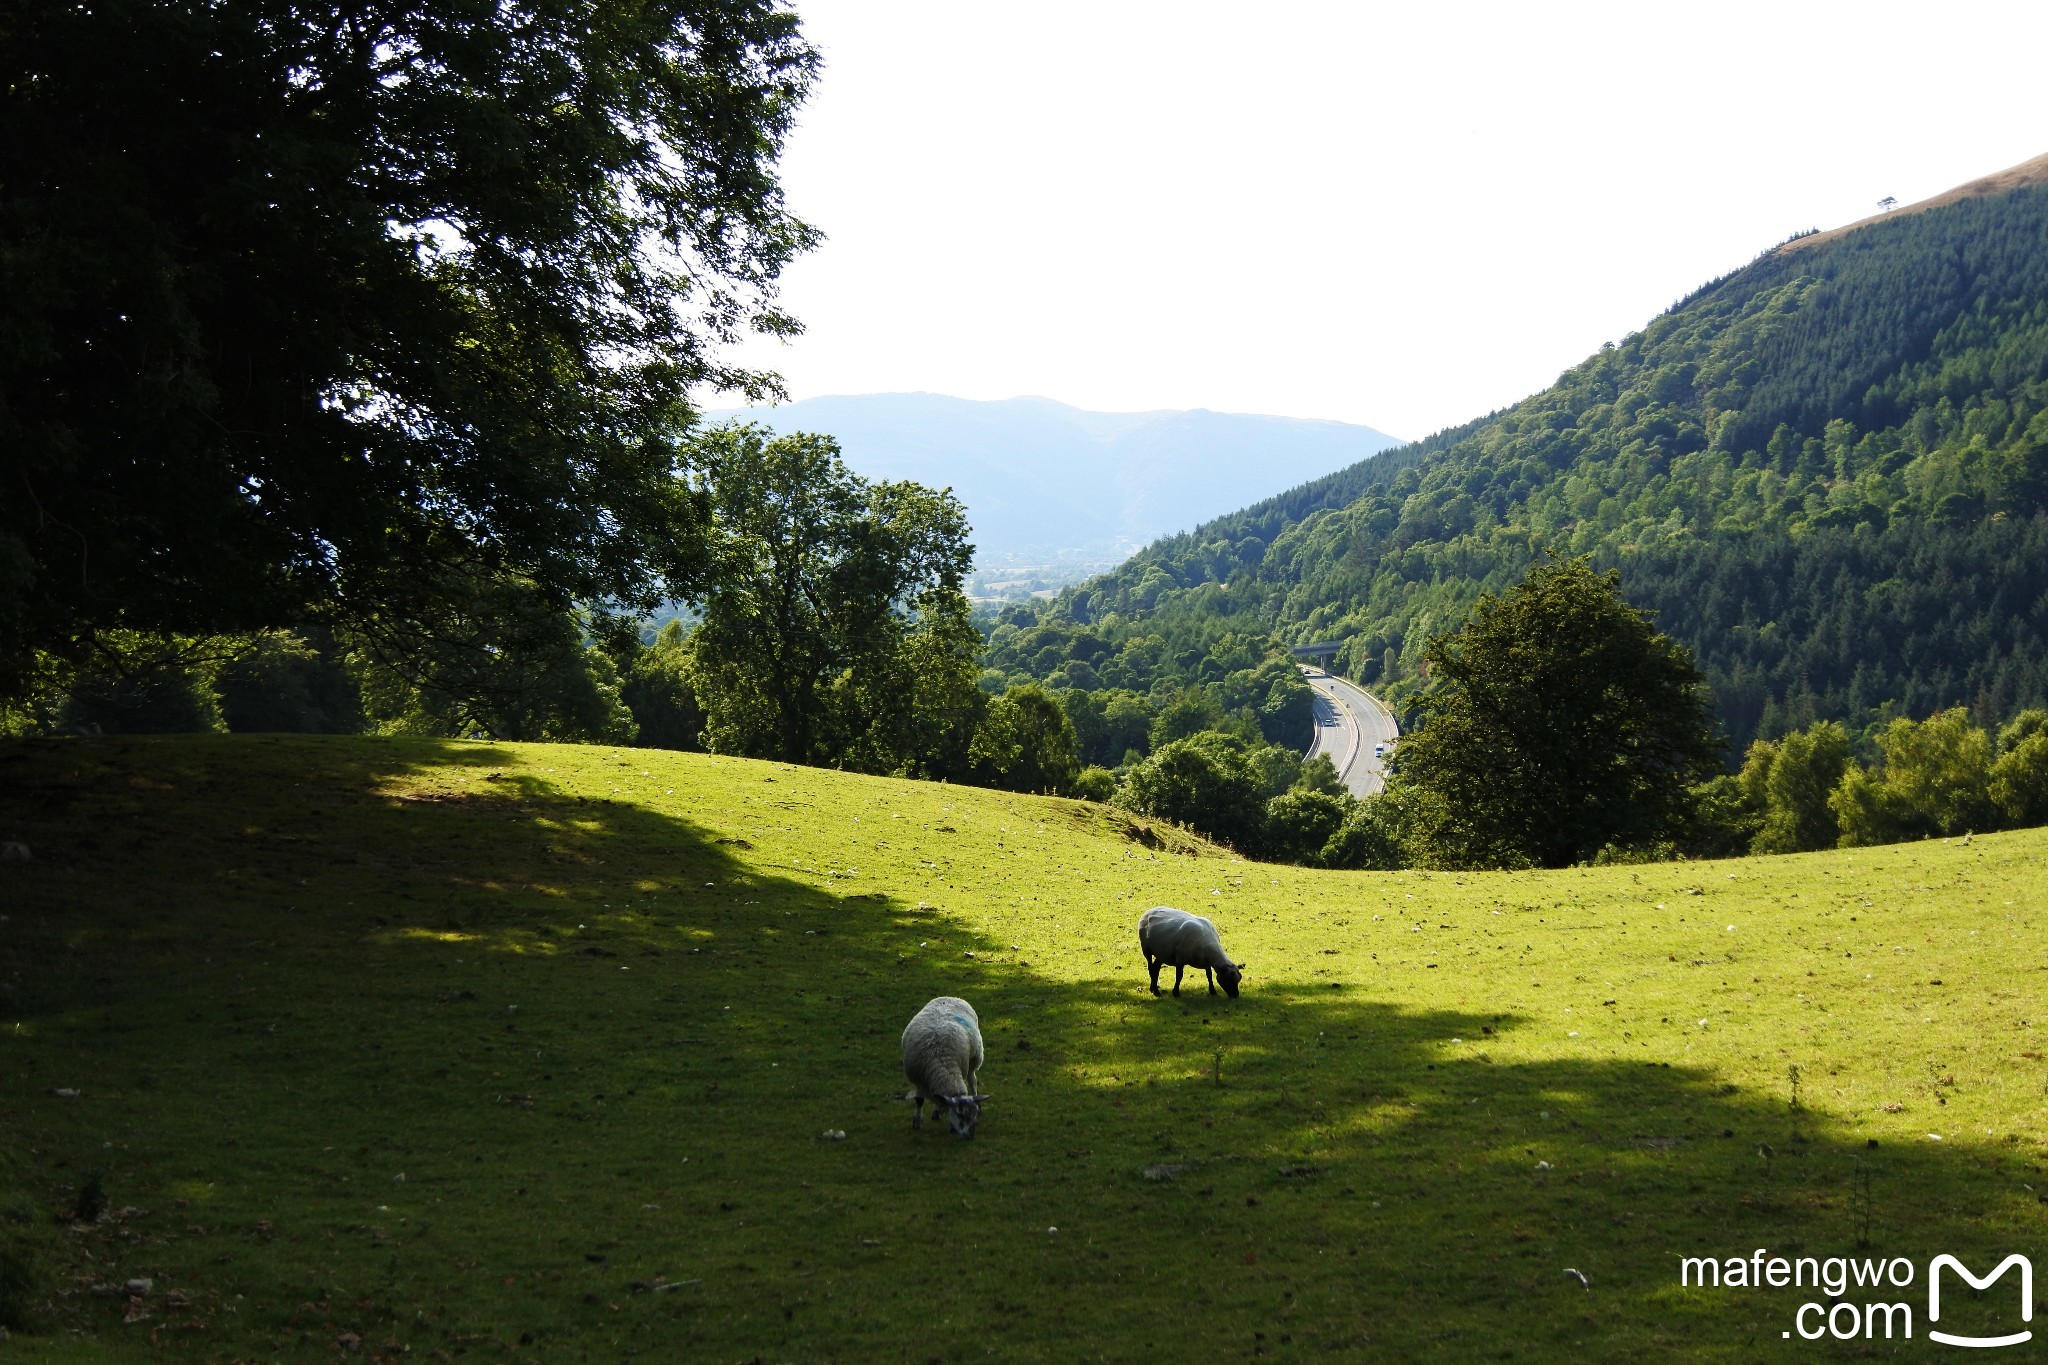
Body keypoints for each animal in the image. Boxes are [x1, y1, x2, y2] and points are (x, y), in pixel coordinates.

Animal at [901, 998, 987, 1137]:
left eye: (973, 1117)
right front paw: (917, 1122)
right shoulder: (918, 1079)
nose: (969, 1136)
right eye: (958, 1114)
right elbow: (919, 1100)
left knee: (972, 1080)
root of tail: (951, 997)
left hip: (974, 1058)